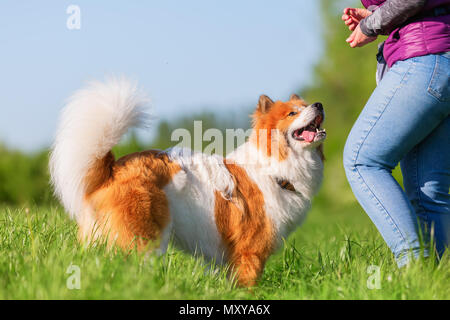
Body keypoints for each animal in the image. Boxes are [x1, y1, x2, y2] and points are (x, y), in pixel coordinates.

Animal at [49, 78, 326, 288]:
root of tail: (113, 168)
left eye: (305, 105)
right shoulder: (250, 252)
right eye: (293, 112)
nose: (319, 104)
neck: (273, 168)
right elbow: (248, 284)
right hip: (144, 241)